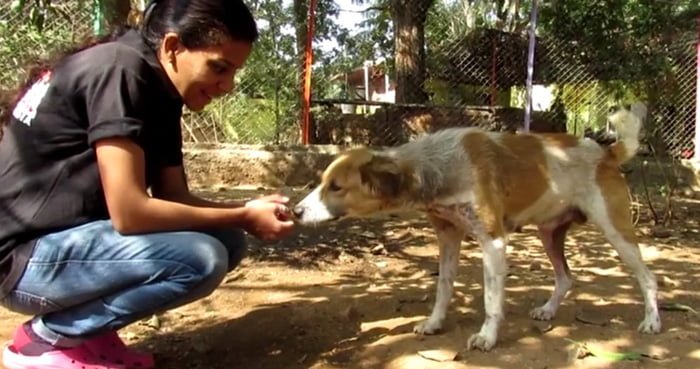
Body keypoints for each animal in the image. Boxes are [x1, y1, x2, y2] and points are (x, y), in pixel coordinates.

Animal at [292, 102, 660, 350]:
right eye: (322, 182)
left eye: (336, 187)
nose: (295, 211)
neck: (438, 166)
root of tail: (607, 152)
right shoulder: (448, 235)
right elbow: (443, 288)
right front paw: (434, 323)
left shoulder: (492, 240)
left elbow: (491, 299)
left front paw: (487, 337)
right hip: (549, 233)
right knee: (565, 277)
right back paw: (548, 310)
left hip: (616, 230)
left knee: (648, 277)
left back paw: (652, 321)